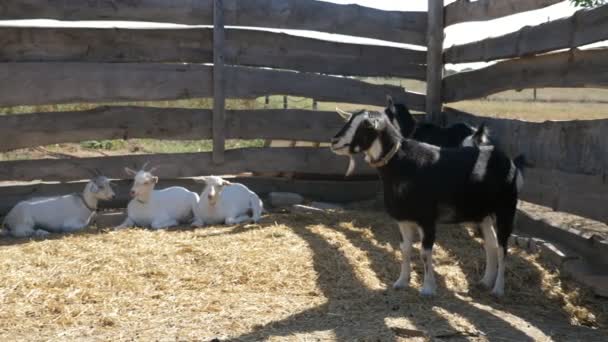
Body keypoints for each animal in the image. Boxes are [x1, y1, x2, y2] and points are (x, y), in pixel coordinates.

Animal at [330, 109, 524, 296]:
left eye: (366, 126)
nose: (334, 141)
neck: (401, 163)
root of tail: (508, 161)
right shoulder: (403, 219)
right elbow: (405, 249)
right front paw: (401, 282)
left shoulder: (427, 219)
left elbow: (424, 253)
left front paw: (428, 289)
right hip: (483, 214)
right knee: (491, 245)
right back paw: (485, 282)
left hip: (506, 209)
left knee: (503, 248)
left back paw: (498, 289)